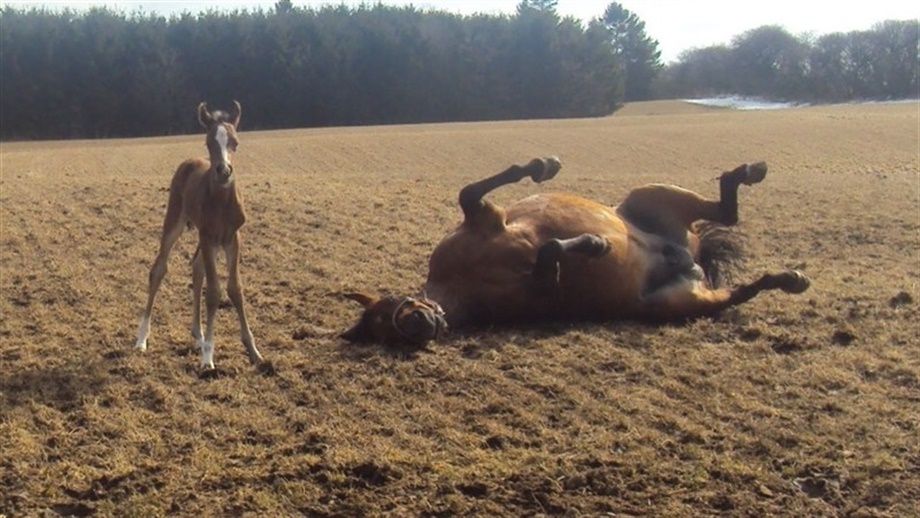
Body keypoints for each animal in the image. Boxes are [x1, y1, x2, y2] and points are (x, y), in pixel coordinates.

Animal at [135, 101, 265, 373]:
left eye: (235, 142)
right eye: (208, 142)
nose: (224, 171)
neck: (222, 202)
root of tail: (189, 162)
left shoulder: (232, 238)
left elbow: (235, 289)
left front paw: (254, 351)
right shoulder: (207, 236)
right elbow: (214, 292)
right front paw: (208, 358)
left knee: (196, 267)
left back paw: (199, 335)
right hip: (175, 221)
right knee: (159, 269)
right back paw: (142, 338)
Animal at [341, 157, 810, 347]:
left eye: (391, 306)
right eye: (382, 331)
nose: (419, 325)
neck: (462, 283)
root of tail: (687, 253)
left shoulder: (485, 216)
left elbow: (473, 190)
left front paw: (542, 166)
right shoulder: (545, 289)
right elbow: (550, 252)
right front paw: (595, 244)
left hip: (655, 194)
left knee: (725, 209)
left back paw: (750, 171)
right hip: (687, 301)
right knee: (740, 275)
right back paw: (790, 280)